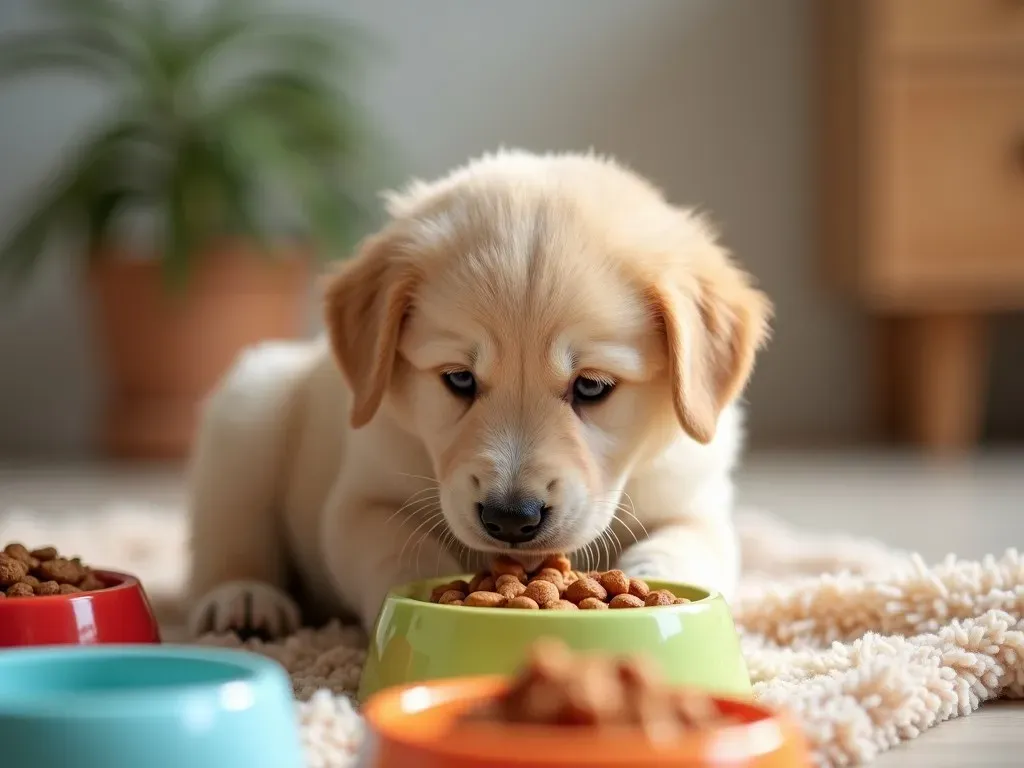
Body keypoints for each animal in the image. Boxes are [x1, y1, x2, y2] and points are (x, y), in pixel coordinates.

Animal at [184, 148, 770, 638]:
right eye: (459, 379)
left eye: (592, 386)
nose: (511, 519)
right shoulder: (360, 499)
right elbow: (399, 551)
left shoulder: (692, 498)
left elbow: (683, 544)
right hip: (248, 410)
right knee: (229, 540)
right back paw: (243, 601)